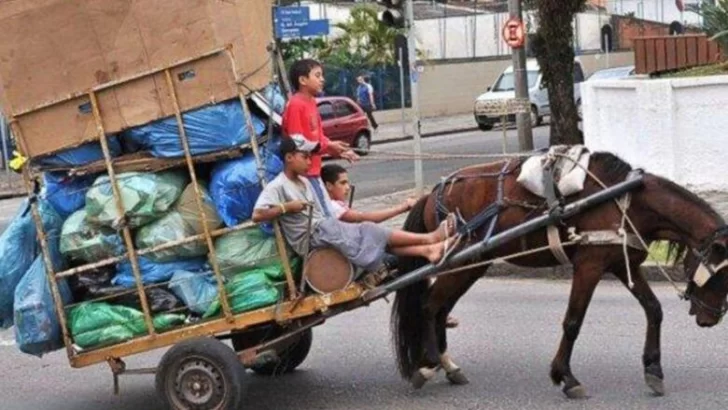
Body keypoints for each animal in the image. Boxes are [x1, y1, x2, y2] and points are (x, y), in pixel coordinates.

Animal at [392, 151, 728, 398]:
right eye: (721, 277)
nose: (710, 319)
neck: (627, 201)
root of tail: (431, 194)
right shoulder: (589, 266)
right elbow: (572, 322)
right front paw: (566, 377)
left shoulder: (623, 265)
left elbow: (654, 310)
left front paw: (653, 370)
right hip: (461, 262)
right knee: (430, 306)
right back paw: (428, 364)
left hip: (472, 265)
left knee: (441, 308)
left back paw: (446, 365)